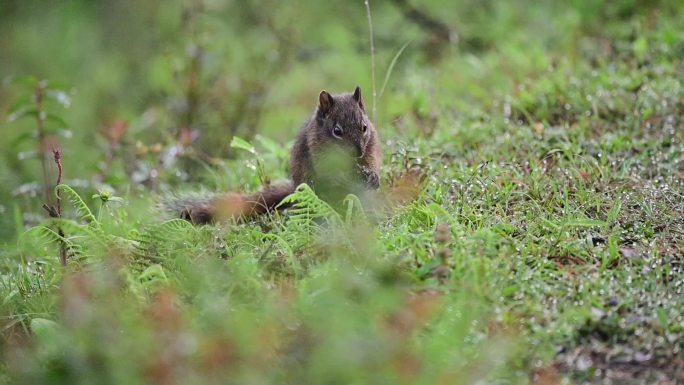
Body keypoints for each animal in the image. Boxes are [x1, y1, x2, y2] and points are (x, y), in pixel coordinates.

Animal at [165, 85, 380, 224]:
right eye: (337, 131)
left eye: (364, 127)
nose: (358, 152)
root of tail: (294, 190)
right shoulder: (318, 152)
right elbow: (329, 173)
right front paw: (342, 179)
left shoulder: (371, 147)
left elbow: (372, 161)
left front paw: (372, 176)